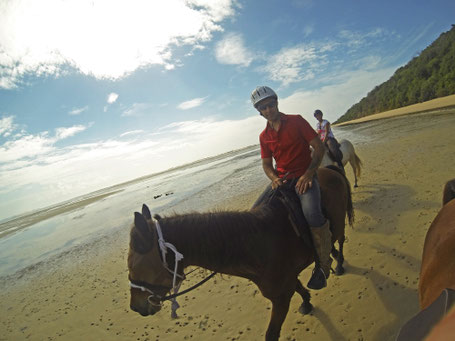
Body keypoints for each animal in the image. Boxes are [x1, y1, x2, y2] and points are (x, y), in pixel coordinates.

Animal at [128, 166, 356, 338]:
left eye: (134, 265)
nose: (135, 307)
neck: (257, 245)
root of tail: (328, 169)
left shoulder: (281, 297)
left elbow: (271, 334)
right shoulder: (287, 283)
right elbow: (300, 289)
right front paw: (307, 303)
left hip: (339, 223)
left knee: (341, 239)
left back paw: (339, 264)